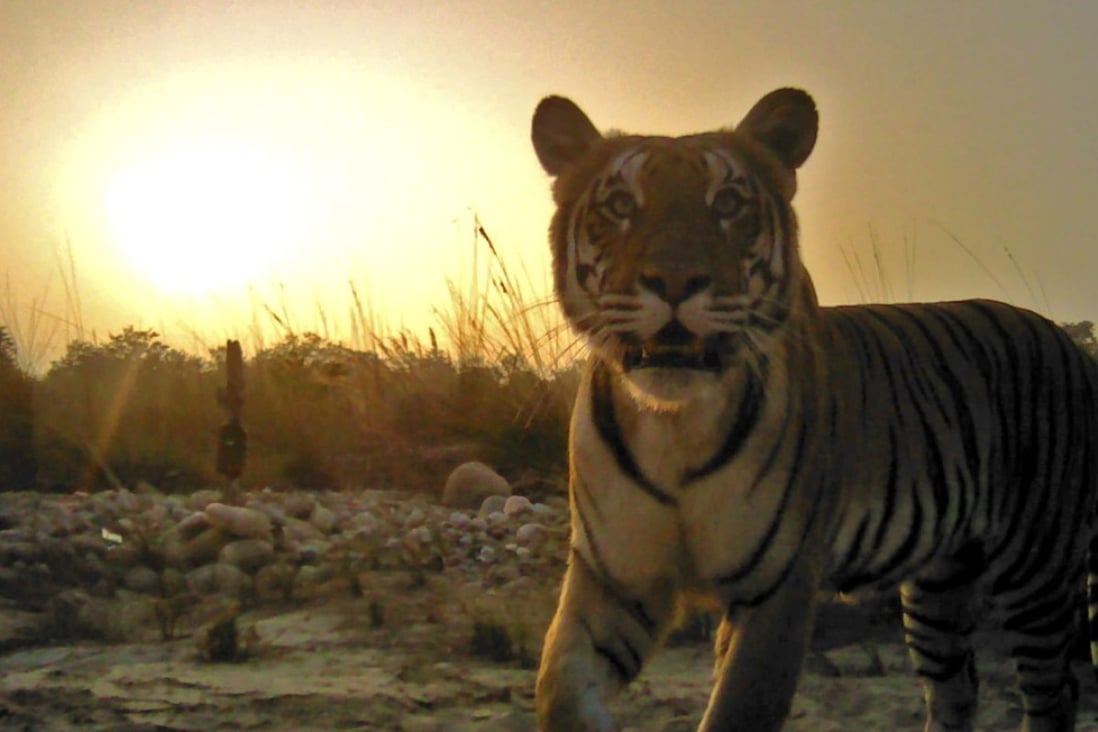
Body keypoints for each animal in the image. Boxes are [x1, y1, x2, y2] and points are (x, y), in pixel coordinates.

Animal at [530, 87, 1098, 732]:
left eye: (727, 203)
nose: (675, 279)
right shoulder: (614, 578)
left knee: (1055, 694)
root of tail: (1071, 348)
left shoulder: (778, 587)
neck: (673, 425)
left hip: (1038, 573)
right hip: (939, 589)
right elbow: (559, 688)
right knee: (957, 691)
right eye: (622, 204)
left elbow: (740, 707)